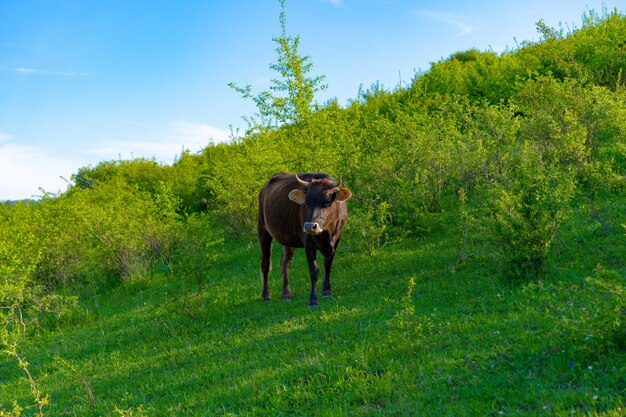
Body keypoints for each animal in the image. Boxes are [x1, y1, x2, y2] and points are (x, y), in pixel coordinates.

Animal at [255, 171, 352, 306]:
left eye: (327, 201)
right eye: (306, 203)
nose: (310, 226)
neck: (327, 232)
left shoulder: (336, 239)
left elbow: (328, 265)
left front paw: (327, 292)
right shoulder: (308, 242)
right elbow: (314, 270)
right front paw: (313, 300)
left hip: (288, 238)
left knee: (285, 263)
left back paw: (286, 294)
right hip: (262, 229)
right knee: (265, 263)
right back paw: (266, 295)